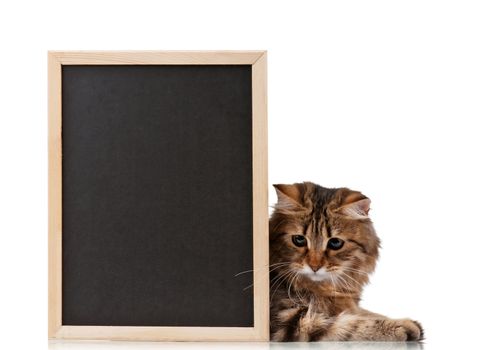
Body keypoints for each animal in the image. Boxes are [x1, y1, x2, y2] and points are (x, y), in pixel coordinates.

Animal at [268, 182, 422, 340]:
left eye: (335, 243)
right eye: (299, 240)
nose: (314, 266)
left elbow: (364, 312)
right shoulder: (291, 322)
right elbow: (351, 325)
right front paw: (401, 326)